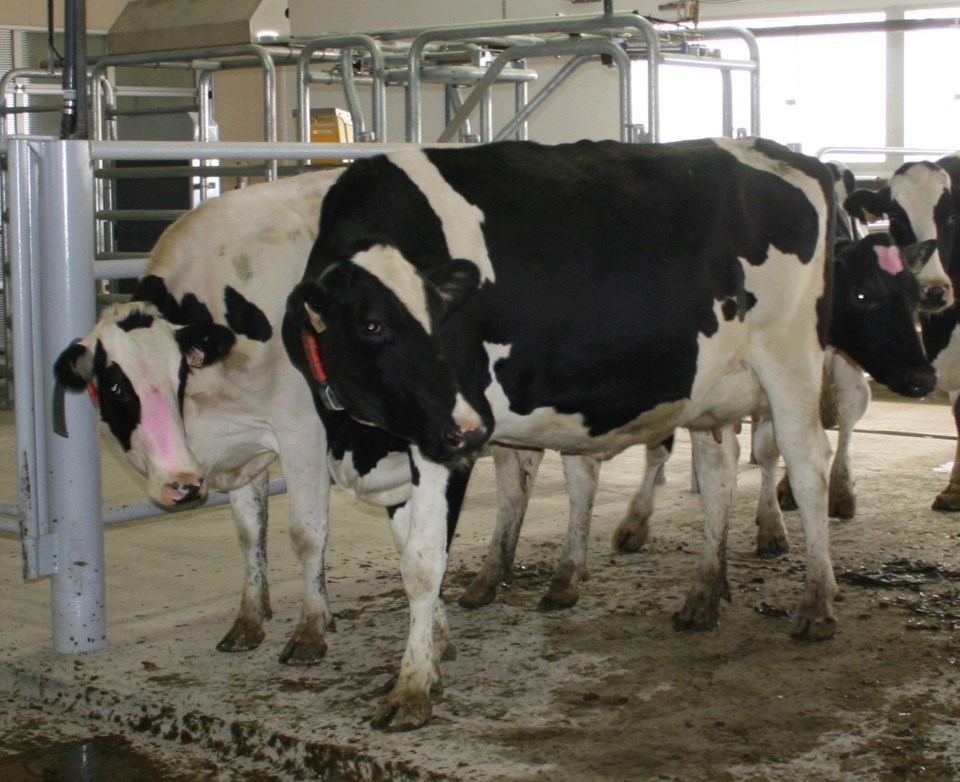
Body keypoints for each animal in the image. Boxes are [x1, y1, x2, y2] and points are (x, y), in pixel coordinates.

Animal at [284, 138, 840, 732]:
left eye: (444, 318)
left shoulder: (436, 444)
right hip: (714, 388)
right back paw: (703, 596)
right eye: (372, 325)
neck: (358, 438)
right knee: (719, 477)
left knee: (808, 469)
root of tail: (783, 153)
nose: (468, 430)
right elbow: (409, 547)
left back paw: (816, 604)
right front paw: (435, 651)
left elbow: (423, 561)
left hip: (791, 361)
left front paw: (411, 688)